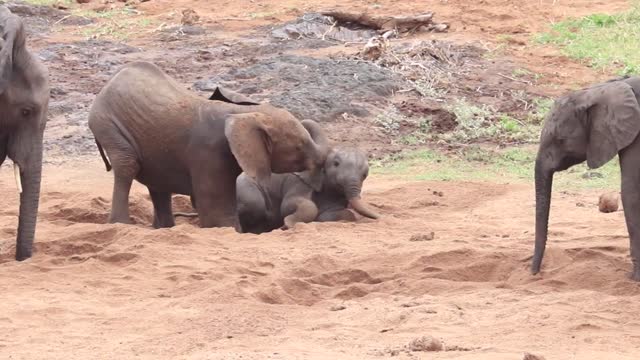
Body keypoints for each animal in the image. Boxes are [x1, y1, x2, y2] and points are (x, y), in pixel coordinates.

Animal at [89, 62, 330, 229]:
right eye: (299, 146)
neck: (245, 113)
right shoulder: (209, 153)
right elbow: (217, 215)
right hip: (107, 124)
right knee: (127, 165)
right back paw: (121, 225)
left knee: (157, 184)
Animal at [235, 142, 380, 235]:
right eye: (336, 164)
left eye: (365, 175)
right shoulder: (298, 181)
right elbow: (290, 204)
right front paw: (287, 225)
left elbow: (343, 214)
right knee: (255, 204)